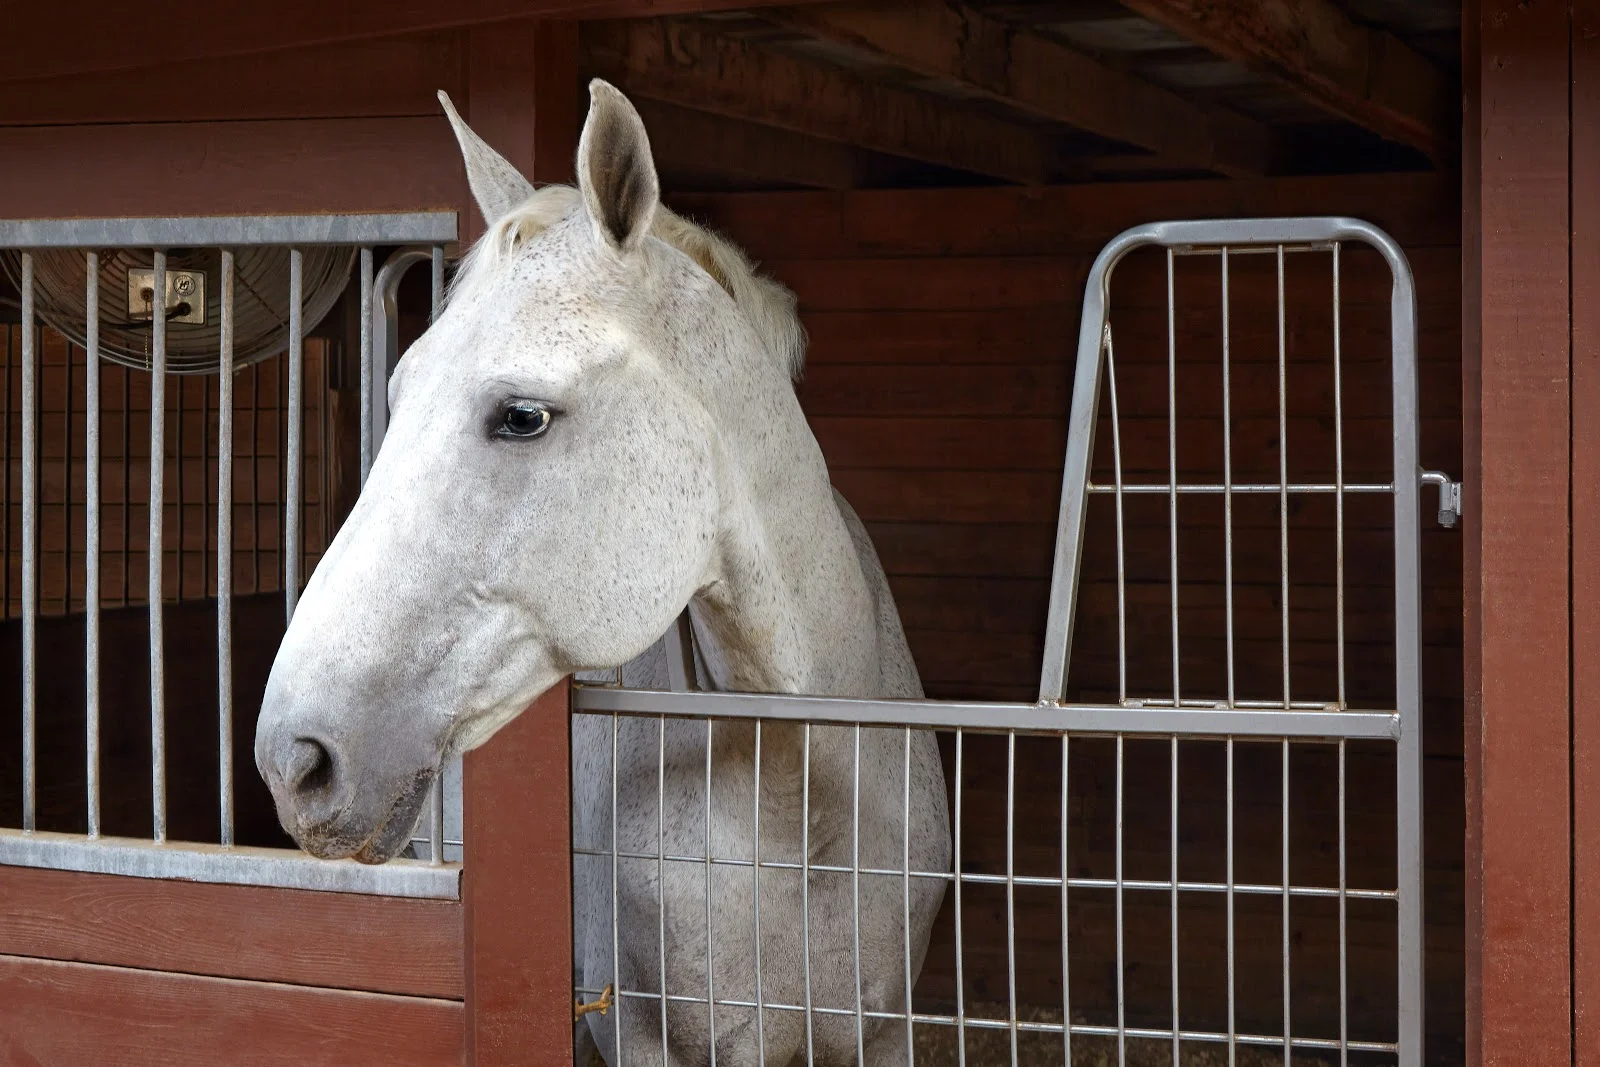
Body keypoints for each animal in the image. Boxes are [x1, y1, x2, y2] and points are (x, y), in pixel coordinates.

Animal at [254, 78, 952, 1065]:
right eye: (396, 394)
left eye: (522, 415)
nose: (292, 759)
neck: (798, 802)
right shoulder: (638, 1034)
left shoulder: (885, 1032)